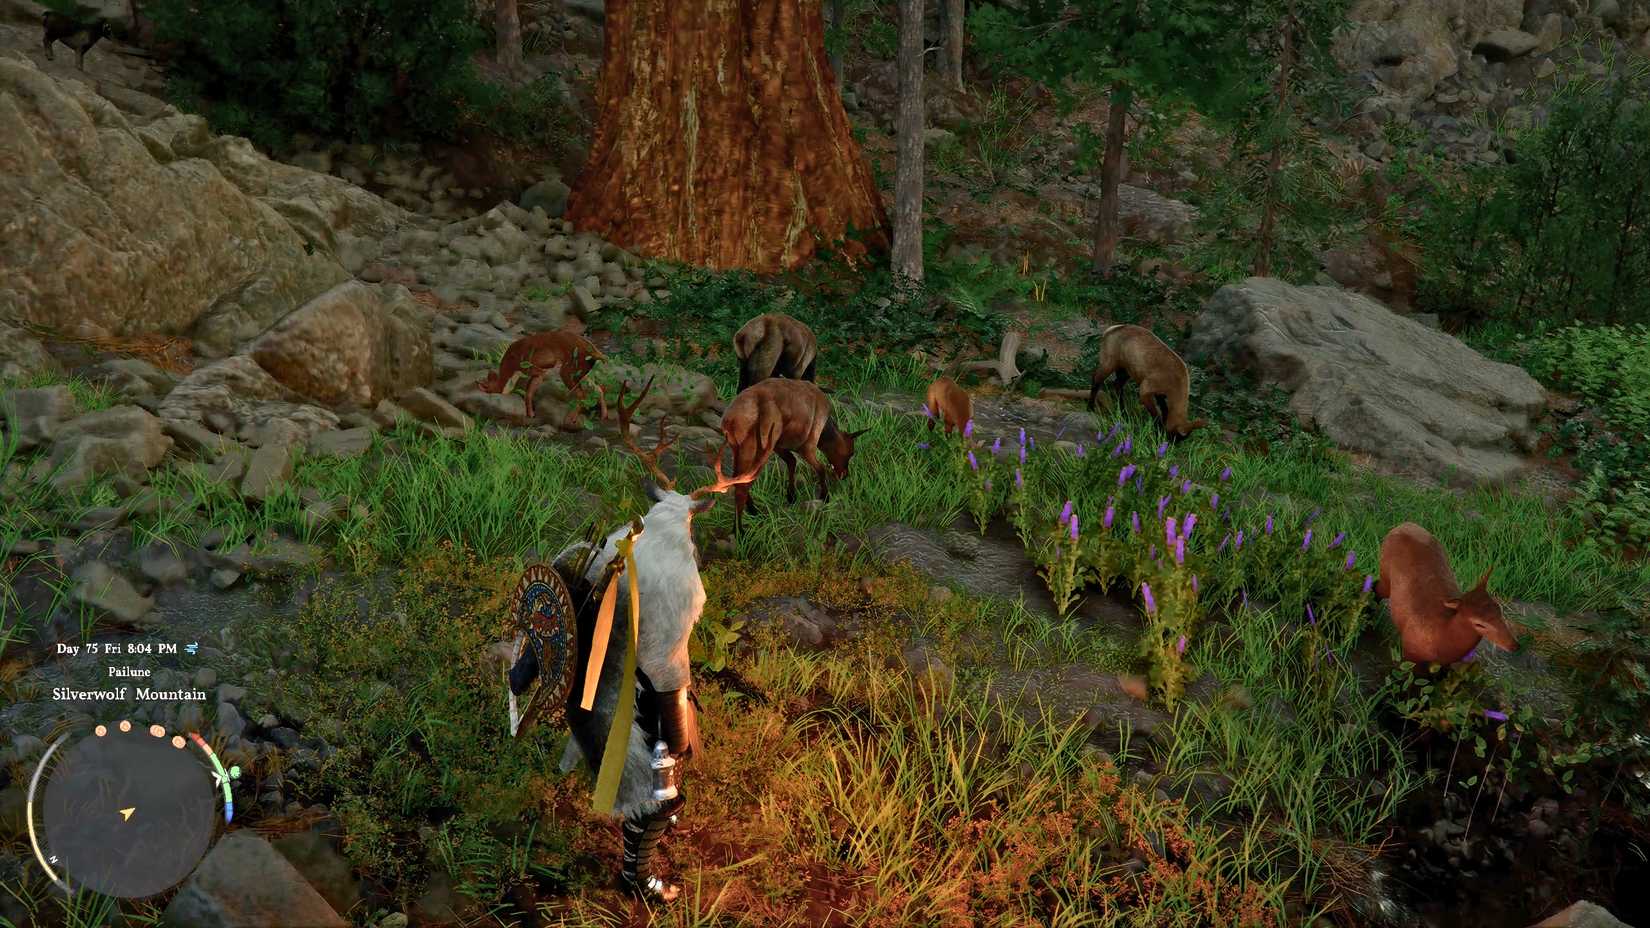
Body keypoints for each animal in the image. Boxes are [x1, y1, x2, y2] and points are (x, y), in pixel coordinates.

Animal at [474, 329, 606, 421]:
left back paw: (571, 418)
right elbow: (529, 393)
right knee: (598, 388)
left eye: (488, 389)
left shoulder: (535, 370)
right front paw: (531, 414)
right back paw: (604, 416)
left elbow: (529, 391)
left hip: (569, 370)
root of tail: (595, 351)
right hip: (582, 372)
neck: (511, 367)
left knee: (582, 393)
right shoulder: (537, 374)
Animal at [715, 378, 868, 534]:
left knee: (738, 478)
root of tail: (730, 420)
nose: (845, 474)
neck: (826, 431)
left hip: (739, 448)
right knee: (743, 482)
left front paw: (791, 496)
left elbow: (792, 461)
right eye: (851, 452)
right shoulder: (807, 445)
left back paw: (752, 512)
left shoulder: (780, 445)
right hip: (758, 447)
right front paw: (824, 496)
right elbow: (820, 468)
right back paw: (739, 530)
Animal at [1375, 522, 1518, 666]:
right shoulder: (1409, 653)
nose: (1514, 645)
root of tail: (1404, 524)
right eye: (1479, 624)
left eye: (1499, 610)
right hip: (1385, 575)